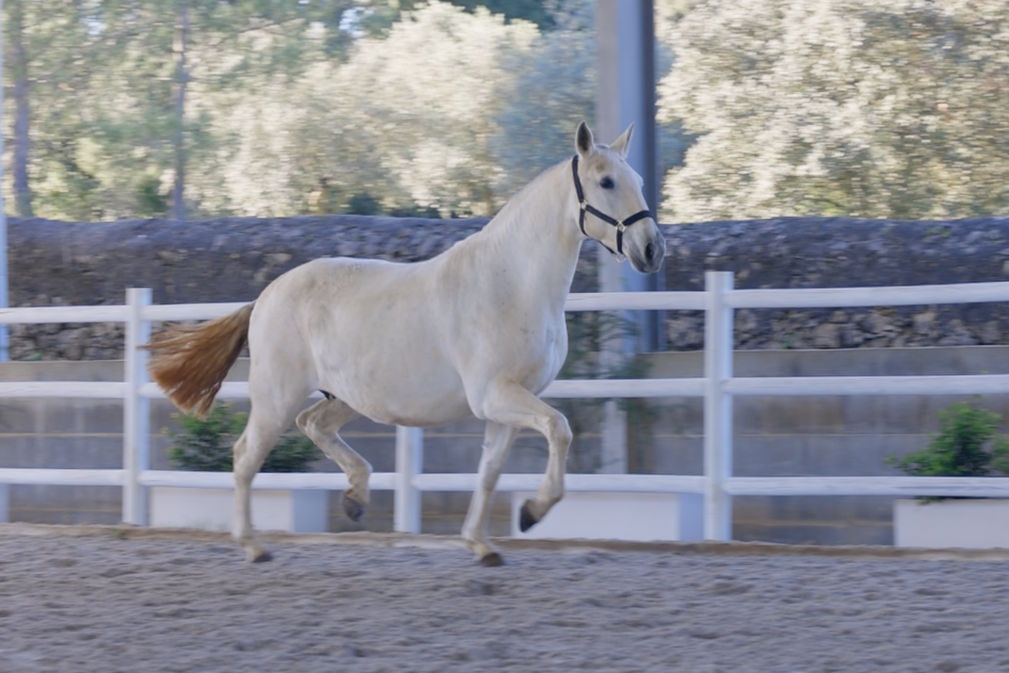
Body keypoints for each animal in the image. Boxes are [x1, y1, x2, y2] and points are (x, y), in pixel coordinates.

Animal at [142, 122, 661, 569]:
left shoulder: (506, 404)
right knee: (246, 456)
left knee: (313, 425)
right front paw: (533, 511)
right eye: (606, 181)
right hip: (275, 396)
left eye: (637, 178)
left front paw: (483, 544)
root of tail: (265, 296)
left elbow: (490, 472)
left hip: (344, 396)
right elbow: (560, 429)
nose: (653, 249)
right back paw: (253, 546)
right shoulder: (496, 395)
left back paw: (355, 498)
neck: (512, 282)